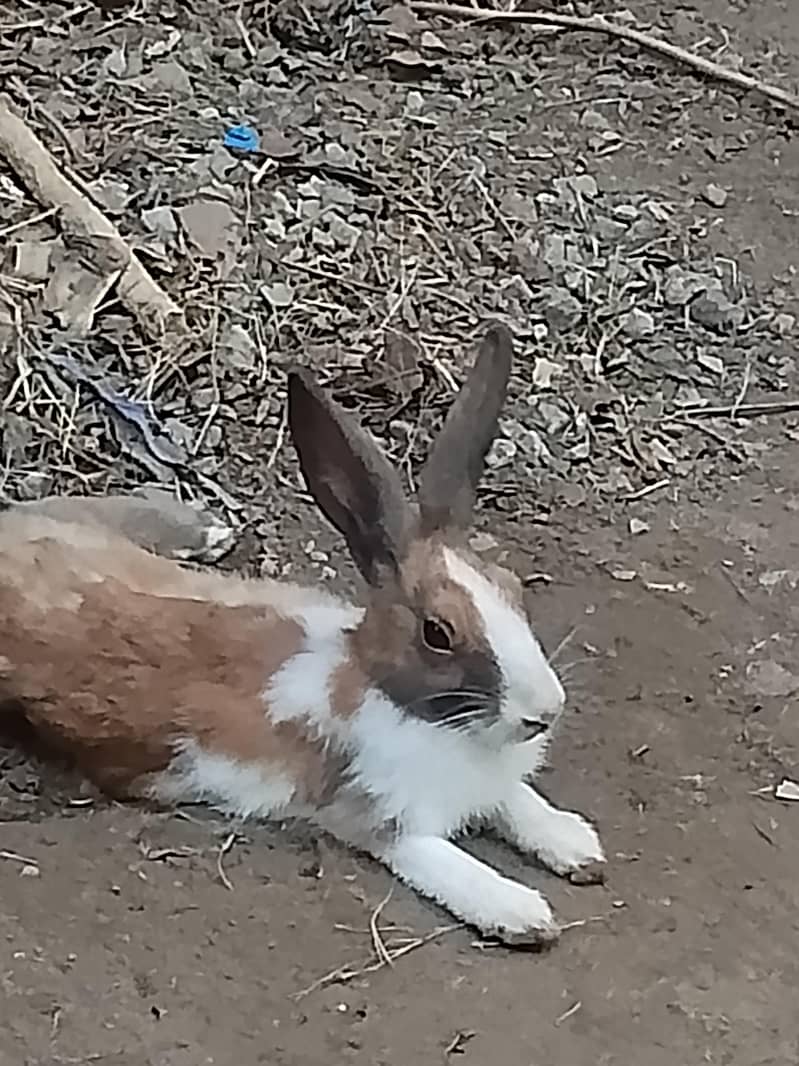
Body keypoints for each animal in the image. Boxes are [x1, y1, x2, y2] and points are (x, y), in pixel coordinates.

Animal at [0, 324, 604, 946]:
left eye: (513, 587)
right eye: (438, 633)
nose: (545, 712)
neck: (402, 702)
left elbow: (516, 801)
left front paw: (576, 844)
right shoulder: (379, 819)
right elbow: (445, 862)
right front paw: (522, 913)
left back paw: (208, 531)